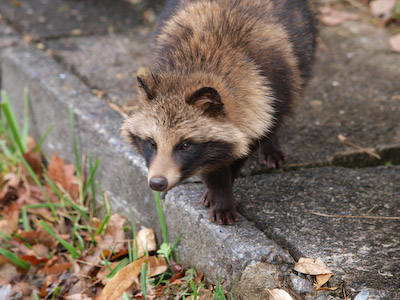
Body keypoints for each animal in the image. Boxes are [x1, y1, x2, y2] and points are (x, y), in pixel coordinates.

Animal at [120, 0, 318, 225]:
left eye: (185, 145)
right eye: (152, 143)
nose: (157, 183)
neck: (194, 67)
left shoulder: (267, 90)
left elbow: (241, 148)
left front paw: (223, 191)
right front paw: (218, 190)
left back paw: (270, 142)